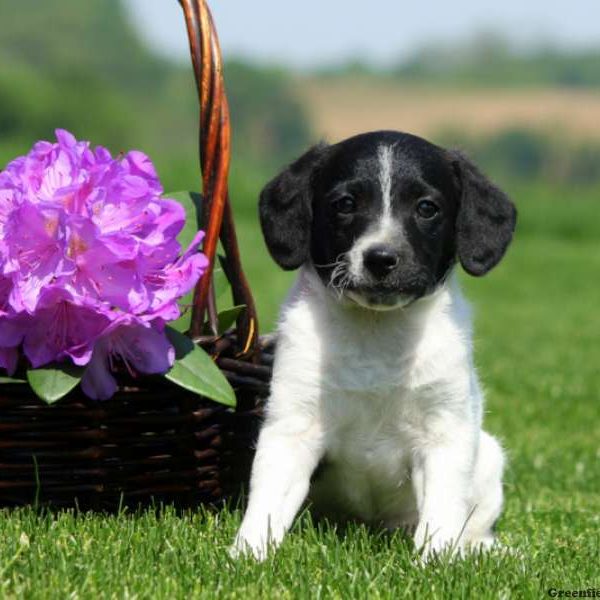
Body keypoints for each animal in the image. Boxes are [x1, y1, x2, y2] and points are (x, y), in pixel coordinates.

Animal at [232, 129, 512, 560]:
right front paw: (247, 554)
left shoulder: (444, 432)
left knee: (474, 525)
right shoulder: (293, 426)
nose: (381, 258)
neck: (376, 331)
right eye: (345, 204)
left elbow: (442, 513)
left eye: (427, 208)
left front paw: (436, 562)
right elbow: (267, 500)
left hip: (488, 459)